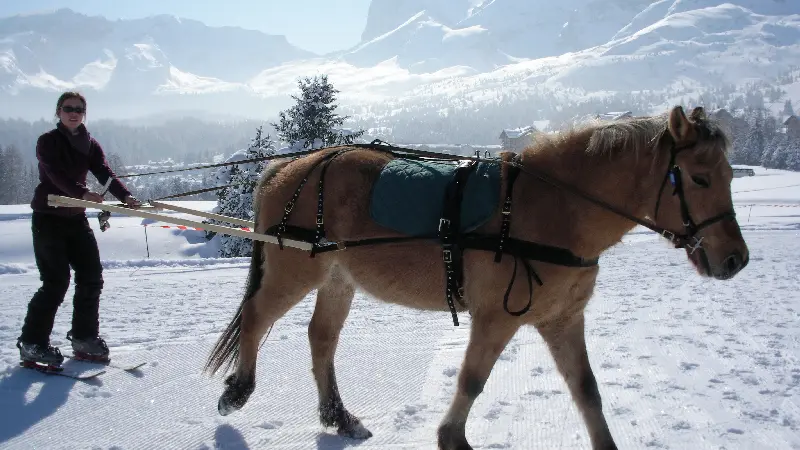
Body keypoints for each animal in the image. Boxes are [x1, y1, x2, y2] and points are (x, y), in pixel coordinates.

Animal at [203, 106, 748, 450]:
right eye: (698, 178)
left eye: (728, 175)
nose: (736, 259)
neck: (554, 210)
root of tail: (288, 166)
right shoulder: (496, 318)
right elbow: (471, 381)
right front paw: (451, 436)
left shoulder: (562, 320)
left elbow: (587, 391)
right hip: (294, 269)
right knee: (256, 317)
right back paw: (238, 390)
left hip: (338, 278)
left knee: (321, 338)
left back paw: (340, 417)